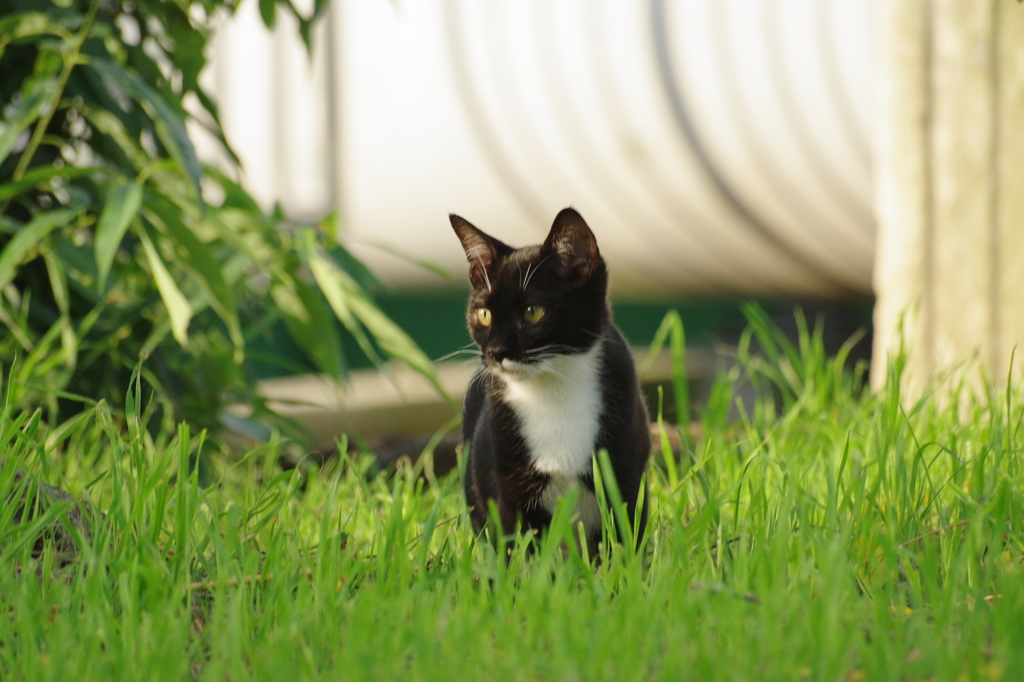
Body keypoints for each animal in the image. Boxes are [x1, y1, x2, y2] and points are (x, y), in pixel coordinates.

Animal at [448, 206, 647, 552]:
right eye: (483, 314)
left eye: (533, 312)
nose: (496, 352)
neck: (553, 390)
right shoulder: (506, 485)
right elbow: (517, 549)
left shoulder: (626, 478)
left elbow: (624, 542)